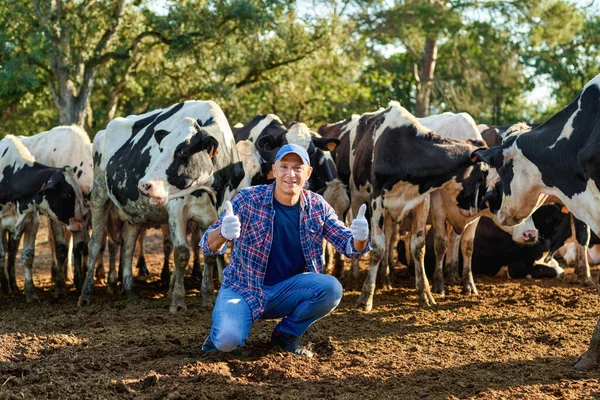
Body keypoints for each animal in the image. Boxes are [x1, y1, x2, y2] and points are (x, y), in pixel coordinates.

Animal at [0, 134, 86, 300]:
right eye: (67, 194)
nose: (80, 224)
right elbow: (0, 255)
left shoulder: (31, 220)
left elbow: (28, 256)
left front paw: (30, 292)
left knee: (12, 250)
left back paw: (13, 285)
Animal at [75, 101, 255, 312]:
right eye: (161, 149)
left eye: (182, 152)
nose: (144, 185)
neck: (214, 190)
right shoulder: (176, 210)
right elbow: (182, 253)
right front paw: (178, 300)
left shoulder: (215, 214)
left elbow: (210, 254)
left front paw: (208, 297)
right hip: (99, 196)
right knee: (95, 244)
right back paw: (85, 294)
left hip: (135, 215)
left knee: (128, 246)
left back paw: (130, 290)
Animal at [350, 101, 490, 310]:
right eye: (482, 173)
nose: (477, 207)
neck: (404, 151)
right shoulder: (376, 200)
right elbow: (377, 248)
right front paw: (366, 297)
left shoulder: (421, 201)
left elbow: (418, 247)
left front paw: (425, 294)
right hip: (356, 197)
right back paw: (355, 275)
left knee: (390, 238)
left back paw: (386, 279)